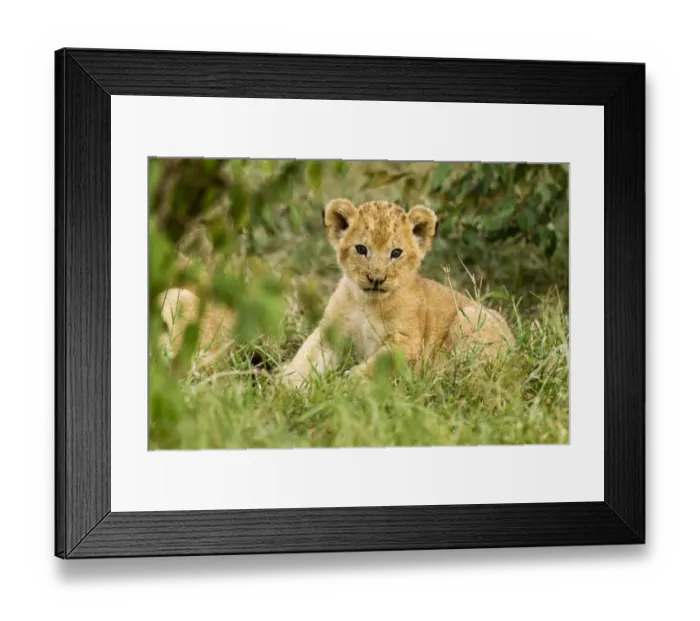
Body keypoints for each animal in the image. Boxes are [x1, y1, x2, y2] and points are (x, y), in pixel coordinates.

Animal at [279, 199, 515, 388]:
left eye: (396, 253)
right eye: (361, 249)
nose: (376, 279)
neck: (367, 302)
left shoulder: (406, 342)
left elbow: (378, 364)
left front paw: (346, 385)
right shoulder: (330, 333)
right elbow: (306, 356)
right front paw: (287, 384)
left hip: (470, 317)